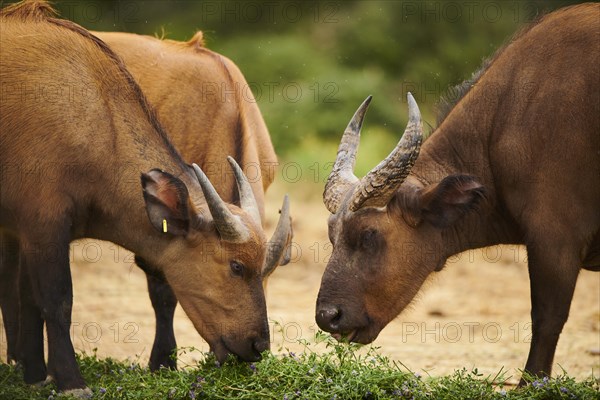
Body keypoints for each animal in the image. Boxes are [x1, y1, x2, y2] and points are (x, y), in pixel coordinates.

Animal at [0, 0, 286, 394]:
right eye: (236, 266)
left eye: (267, 272)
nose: (258, 346)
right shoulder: (45, 223)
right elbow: (62, 301)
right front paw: (78, 378)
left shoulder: (31, 229)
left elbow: (32, 298)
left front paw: (36, 374)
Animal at [316, 3, 596, 384]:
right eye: (331, 235)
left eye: (370, 235)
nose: (328, 316)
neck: (502, 125)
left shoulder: (555, 240)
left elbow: (546, 320)